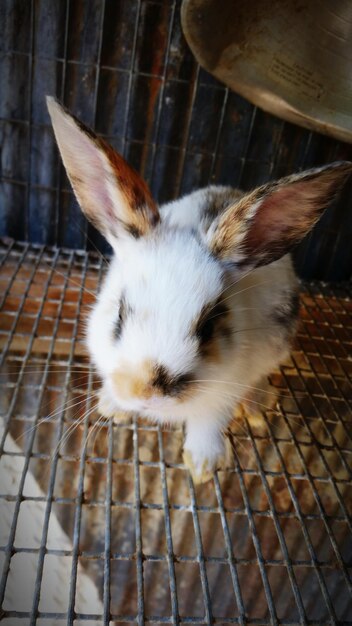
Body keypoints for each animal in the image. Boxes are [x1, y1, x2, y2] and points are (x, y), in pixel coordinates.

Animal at [47, 96, 352, 482]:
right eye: (118, 315)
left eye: (208, 327)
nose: (146, 392)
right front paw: (111, 405)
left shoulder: (224, 392)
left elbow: (209, 423)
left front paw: (204, 467)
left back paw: (258, 403)